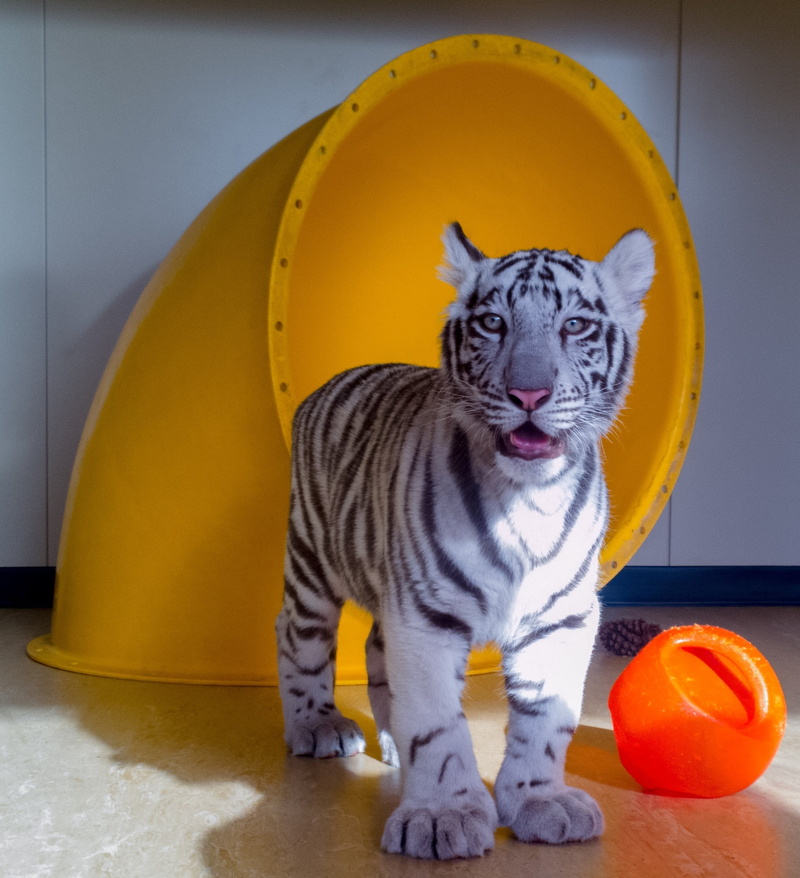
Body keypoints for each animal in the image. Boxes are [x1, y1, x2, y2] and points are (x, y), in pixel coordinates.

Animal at [275, 222, 654, 859]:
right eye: (493, 323)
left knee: (374, 649)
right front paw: (441, 816)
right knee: (298, 639)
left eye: (575, 325)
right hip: (311, 561)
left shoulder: (561, 617)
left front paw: (541, 800)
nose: (529, 395)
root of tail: (332, 382)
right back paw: (319, 726)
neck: (529, 497)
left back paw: (391, 745)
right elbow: (436, 723)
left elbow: (547, 718)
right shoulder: (425, 615)